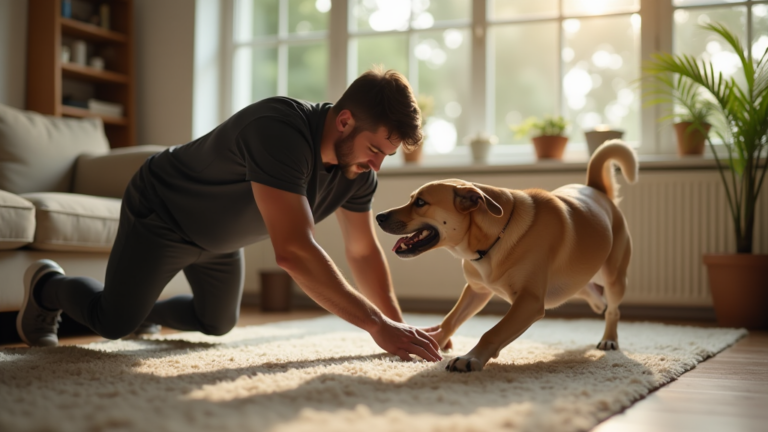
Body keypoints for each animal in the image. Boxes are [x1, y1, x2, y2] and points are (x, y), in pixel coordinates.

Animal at [376, 141, 636, 372]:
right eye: (412, 199)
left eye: (420, 202)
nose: (378, 216)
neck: (490, 242)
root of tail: (596, 190)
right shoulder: (477, 291)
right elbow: (450, 320)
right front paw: (428, 345)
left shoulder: (529, 302)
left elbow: (493, 332)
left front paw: (470, 358)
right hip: (572, 282)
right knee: (591, 292)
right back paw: (598, 303)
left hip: (613, 277)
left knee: (613, 308)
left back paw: (609, 338)